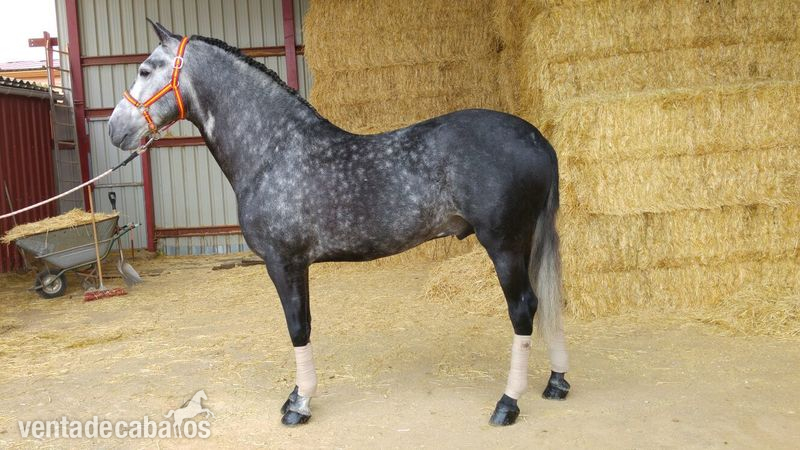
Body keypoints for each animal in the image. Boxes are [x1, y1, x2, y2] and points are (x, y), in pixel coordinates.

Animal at [108, 21, 570, 427]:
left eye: (146, 69)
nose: (115, 130)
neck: (275, 150)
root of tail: (539, 139)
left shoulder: (285, 263)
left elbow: (298, 327)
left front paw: (299, 405)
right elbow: (305, 325)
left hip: (504, 245)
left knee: (523, 309)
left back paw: (507, 405)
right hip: (526, 243)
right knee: (547, 302)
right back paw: (557, 381)